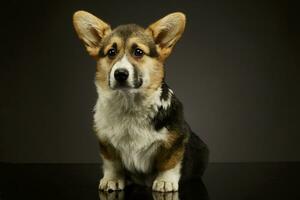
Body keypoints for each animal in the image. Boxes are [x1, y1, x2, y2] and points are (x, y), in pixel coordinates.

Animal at [72, 10, 209, 192]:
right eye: (111, 52)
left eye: (138, 52)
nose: (120, 74)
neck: (129, 104)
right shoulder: (105, 142)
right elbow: (112, 163)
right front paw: (112, 179)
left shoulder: (176, 139)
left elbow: (169, 162)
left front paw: (165, 181)